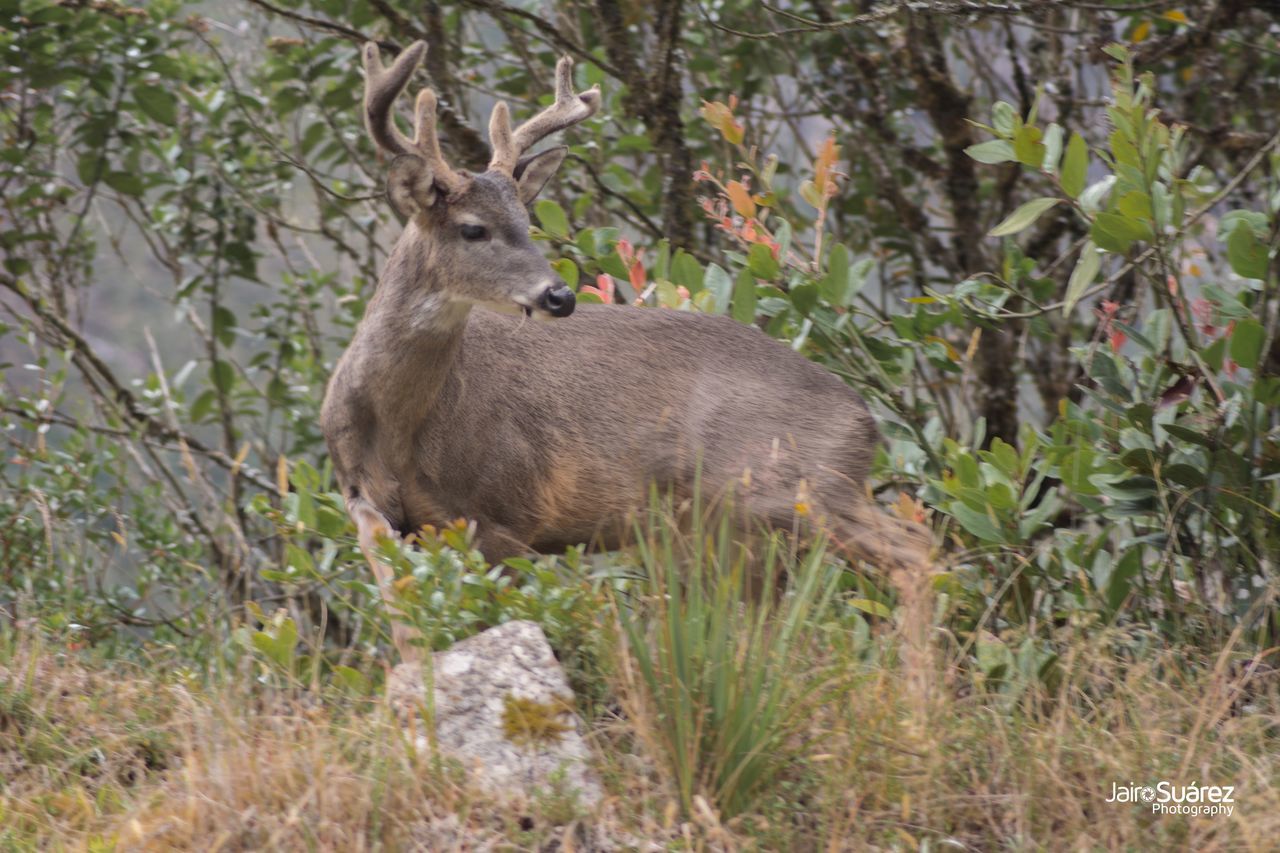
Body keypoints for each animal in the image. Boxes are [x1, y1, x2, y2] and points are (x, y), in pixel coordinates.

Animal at [322, 41, 931, 666]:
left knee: (913, 547)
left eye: (527, 221)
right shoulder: (369, 506)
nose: (561, 295)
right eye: (473, 230)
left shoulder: (502, 513)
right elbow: (407, 634)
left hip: (788, 488)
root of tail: (866, 423)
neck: (399, 432)